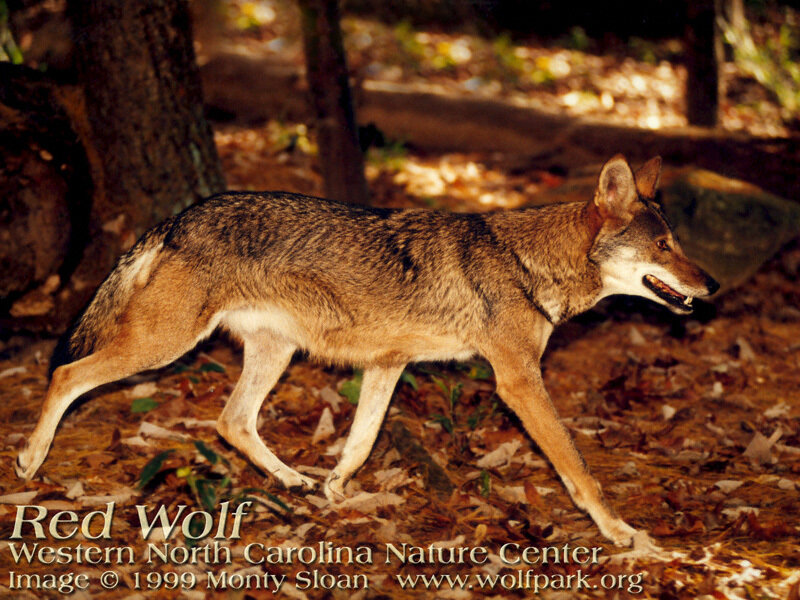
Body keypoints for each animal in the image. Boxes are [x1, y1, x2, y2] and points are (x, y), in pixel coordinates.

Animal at [16, 155, 718, 546]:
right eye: (665, 247)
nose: (712, 285)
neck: (527, 263)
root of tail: (181, 215)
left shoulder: (388, 364)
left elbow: (359, 441)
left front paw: (334, 489)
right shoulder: (518, 381)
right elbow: (578, 468)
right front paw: (622, 532)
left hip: (270, 354)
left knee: (230, 421)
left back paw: (291, 480)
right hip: (163, 347)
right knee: (67, 374)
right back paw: (29, 459)